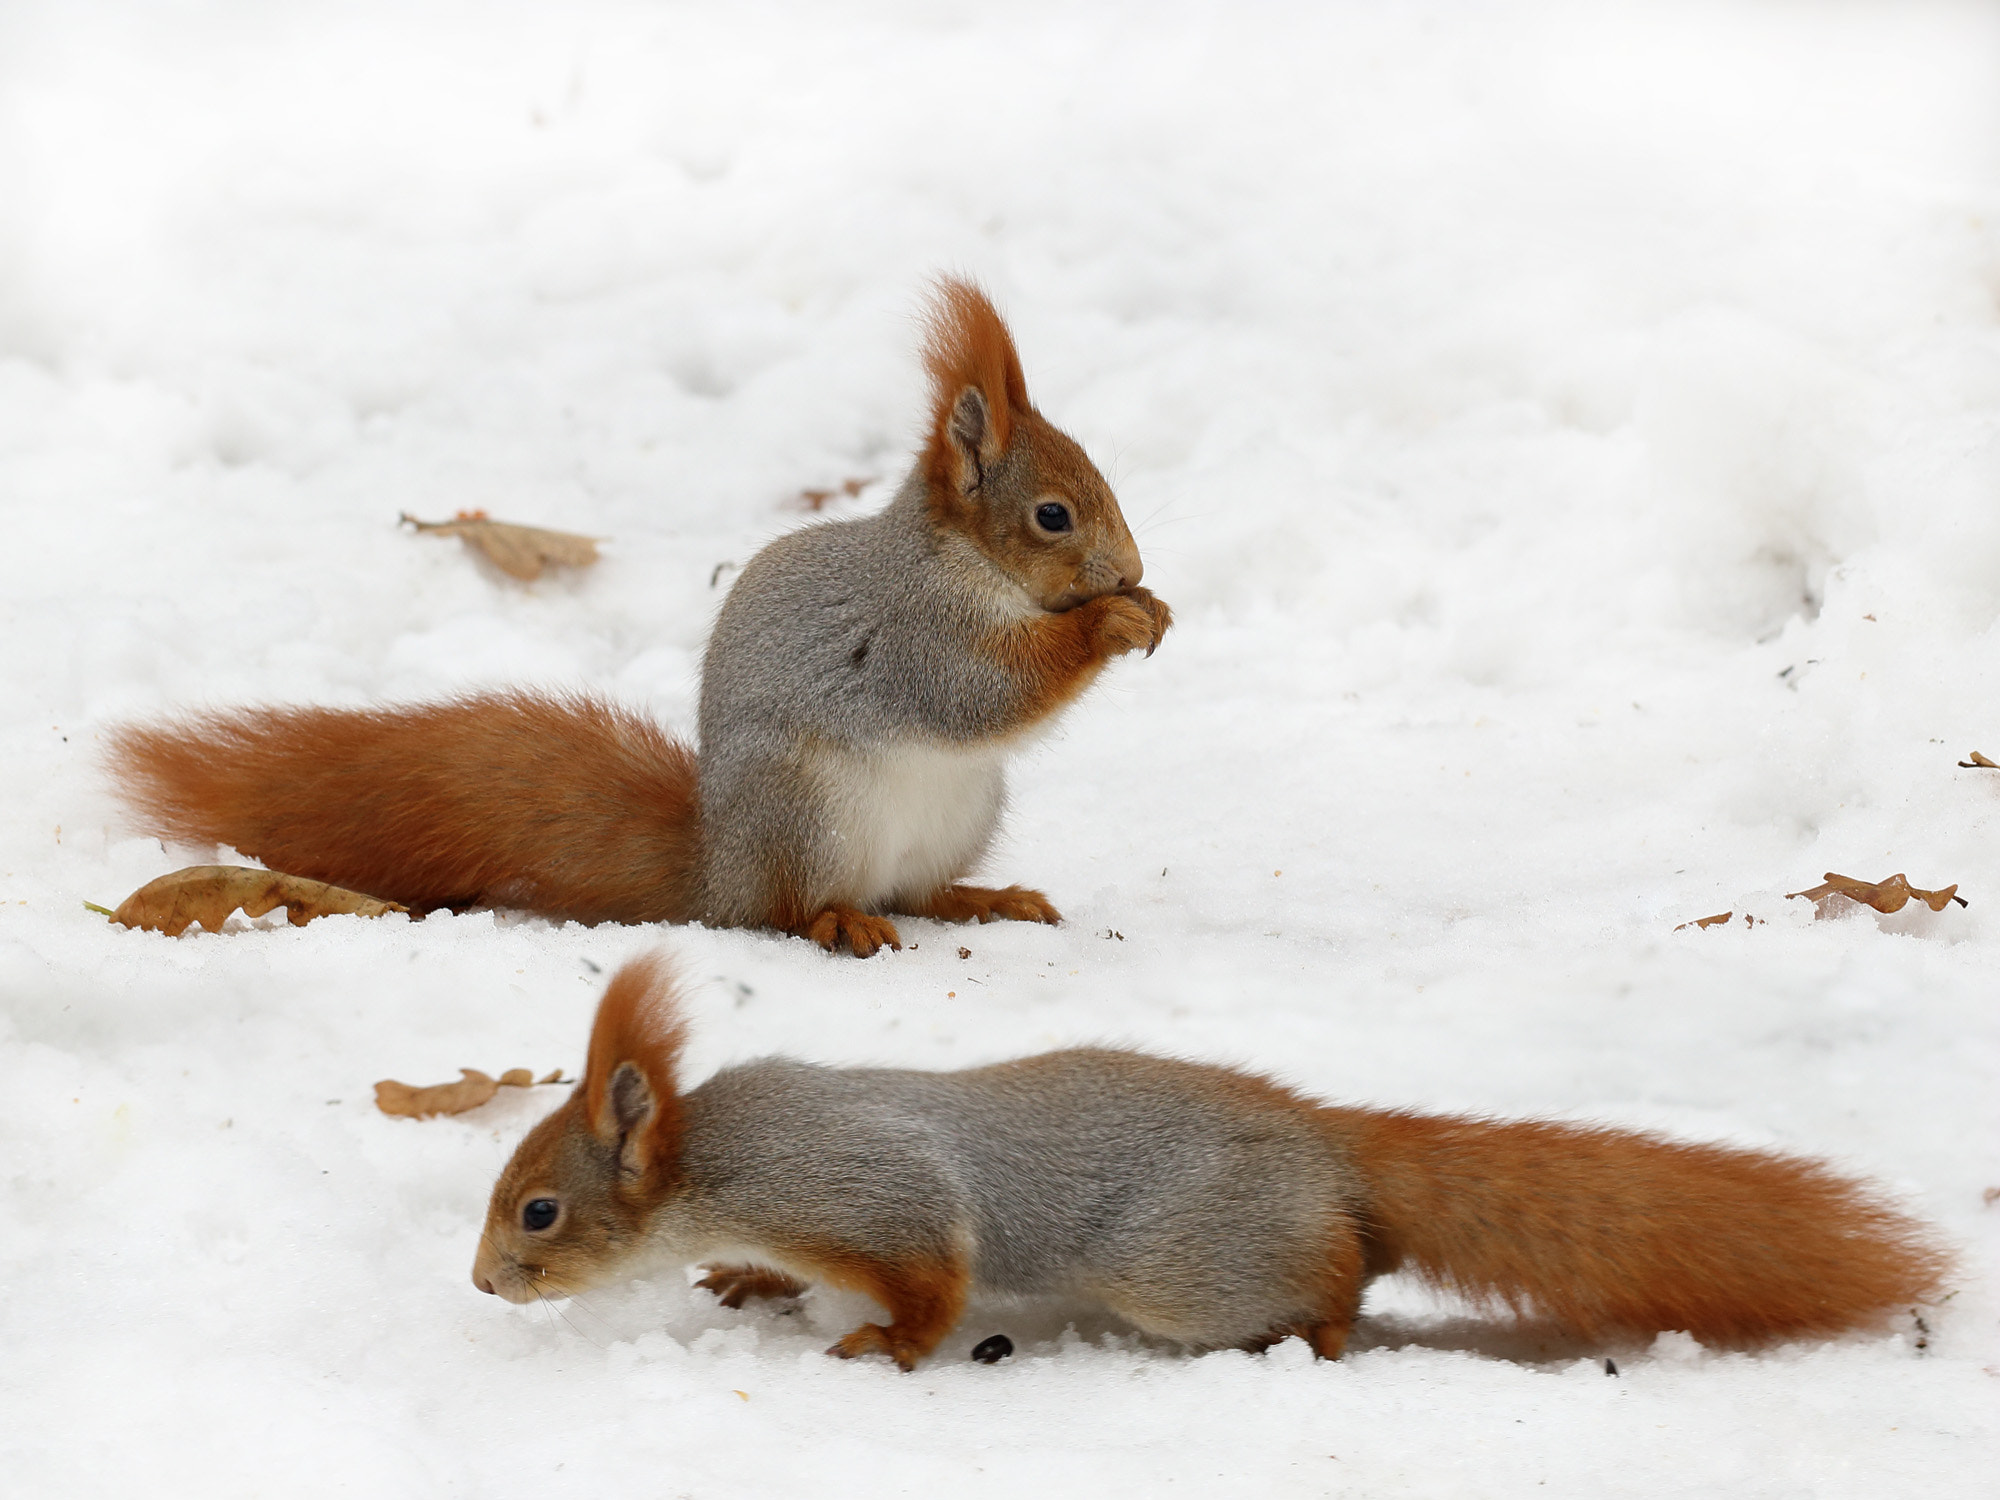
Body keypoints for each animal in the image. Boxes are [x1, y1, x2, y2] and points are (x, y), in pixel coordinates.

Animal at [109, 279, 1171, 957]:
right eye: (1053, 516)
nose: (1132, 568)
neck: (963, 561)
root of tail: (719, 870)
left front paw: (1147, 605)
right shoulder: (916, 635)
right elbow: (984, 690)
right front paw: (1114, 624)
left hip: (962, 812)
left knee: (917, 892)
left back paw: (985, 898)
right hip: (807, 813)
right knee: (790, 910)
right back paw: (836, 921)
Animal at [471, 954, 1948, 1371]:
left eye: (538, 1210)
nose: (485, 1286)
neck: (717, 1167)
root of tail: (1323, 1141)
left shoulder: (854, 1189)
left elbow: (934, 1277)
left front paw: (883, 1350)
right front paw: (752, 1289)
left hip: (1180, 1265)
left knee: (1340, 1278)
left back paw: (1322, 1332)